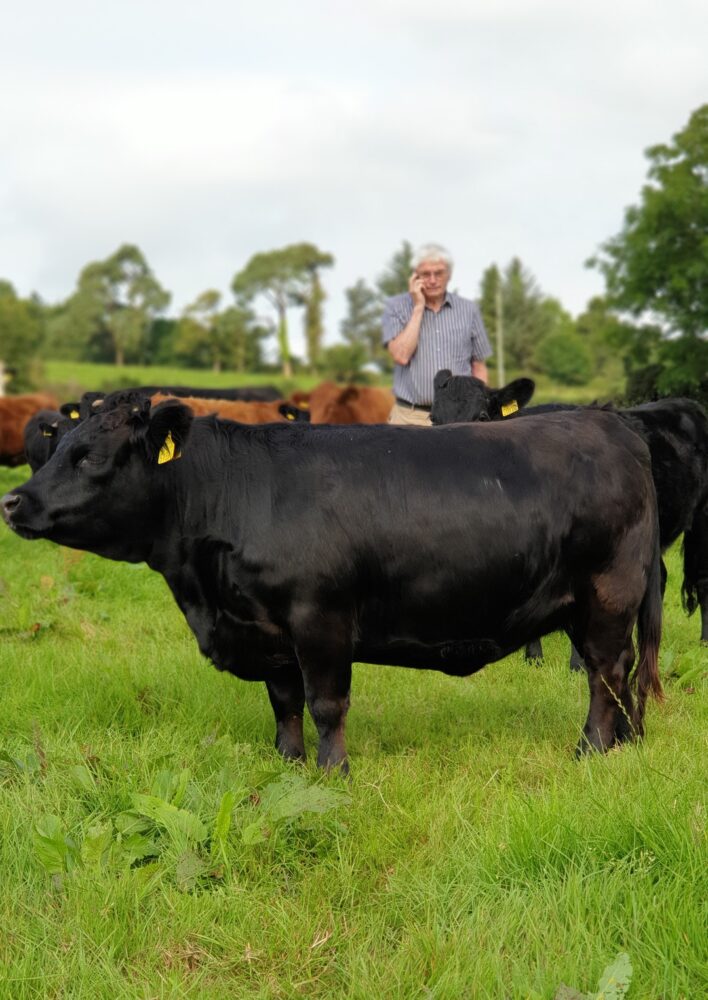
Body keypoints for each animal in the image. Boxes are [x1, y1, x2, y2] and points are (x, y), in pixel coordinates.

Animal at [1, 390, 663, 771]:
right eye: (57, 446)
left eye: (90, 457)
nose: (13, 501)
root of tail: (617, 427)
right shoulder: (267, 630)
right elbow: (284, 702)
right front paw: (289, 764)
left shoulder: (319, 618)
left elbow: (325, 702)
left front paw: (332, 771)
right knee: (622, 670)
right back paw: (626, 742)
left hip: (607, 594)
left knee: (606, 674)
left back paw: (591, 750)